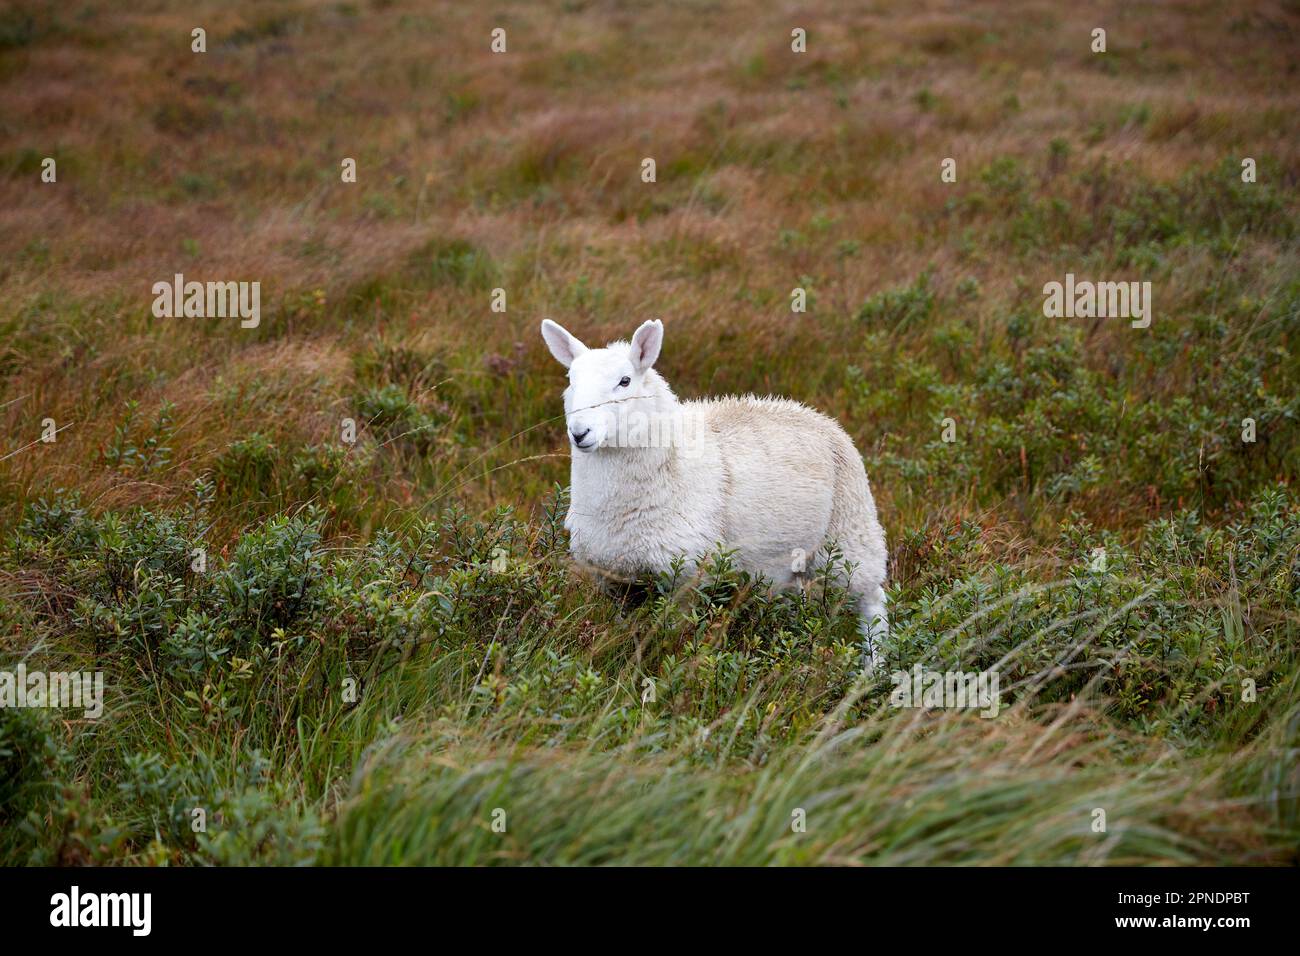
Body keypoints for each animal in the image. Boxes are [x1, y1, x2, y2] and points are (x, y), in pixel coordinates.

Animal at [540, 318, 889, 665]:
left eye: (624, 381)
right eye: (571, 380)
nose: (579, 432)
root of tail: (817, 415)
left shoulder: (685, 575)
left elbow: (672, 637)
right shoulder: (613, 578)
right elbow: (629, 632)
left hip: (850, 535)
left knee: (873, 600)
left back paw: (874, 667)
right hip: (785, 562)